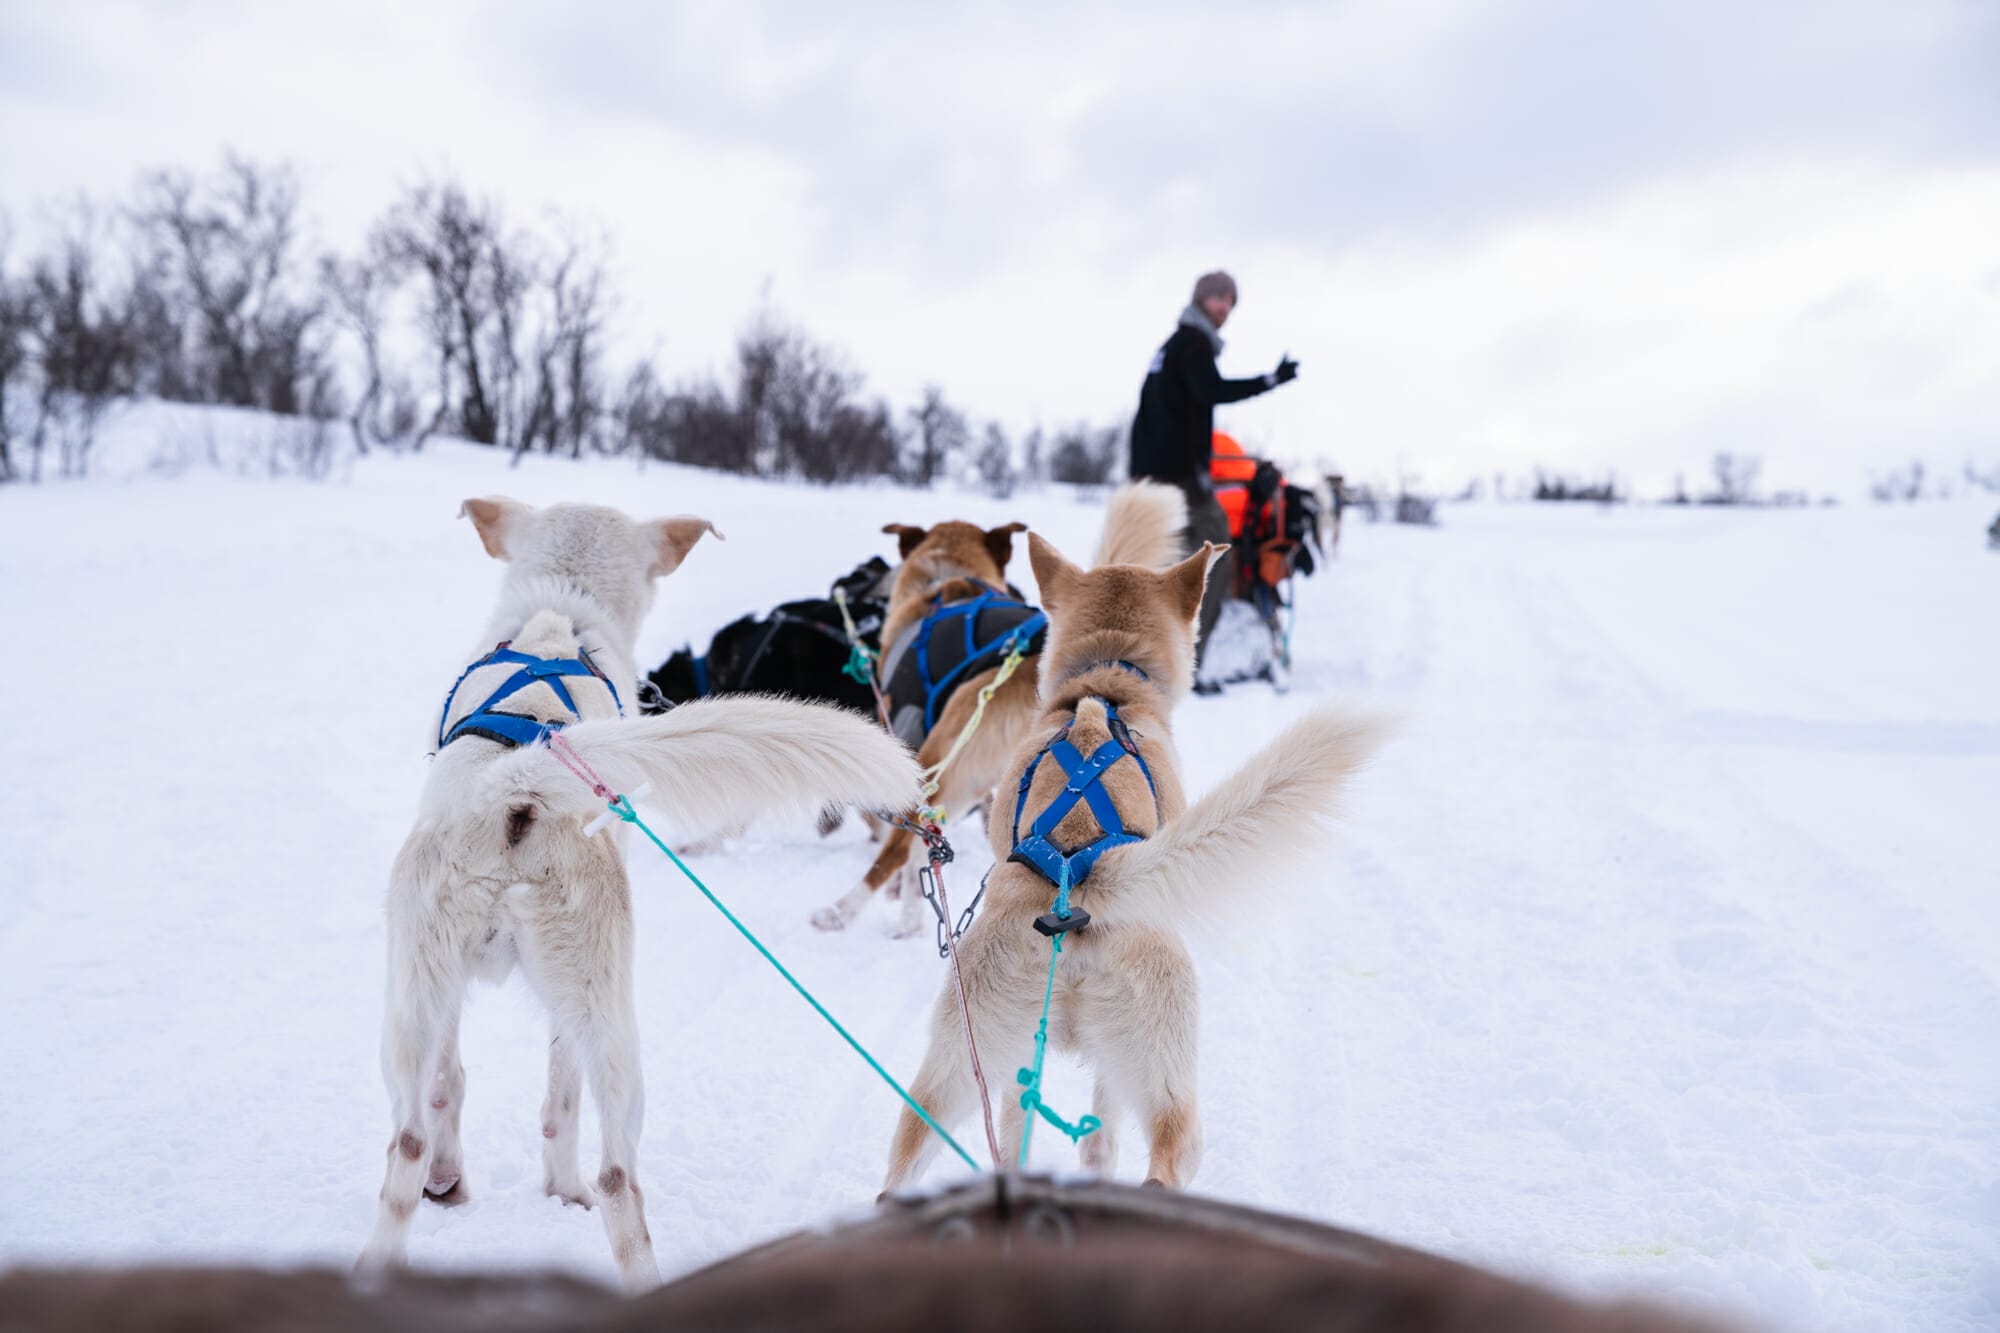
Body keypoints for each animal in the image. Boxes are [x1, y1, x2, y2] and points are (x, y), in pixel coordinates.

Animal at [360, 492, 920, 1280]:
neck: (561, 611)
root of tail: (518, 788)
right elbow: (556, 1109)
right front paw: (552, 1190)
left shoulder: (444, 1000)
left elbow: (451, 1087)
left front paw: (451, 1182)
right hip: (607, 1020)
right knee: (615, 1173)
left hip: (413, 1000)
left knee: (407, 1144)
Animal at [884, 528, 1384, 1184]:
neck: (1105, 684)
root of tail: (1072, 888)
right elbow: (1100, 1128)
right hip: (1167, 1087)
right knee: (1162, 1160)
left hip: (952, 1072)